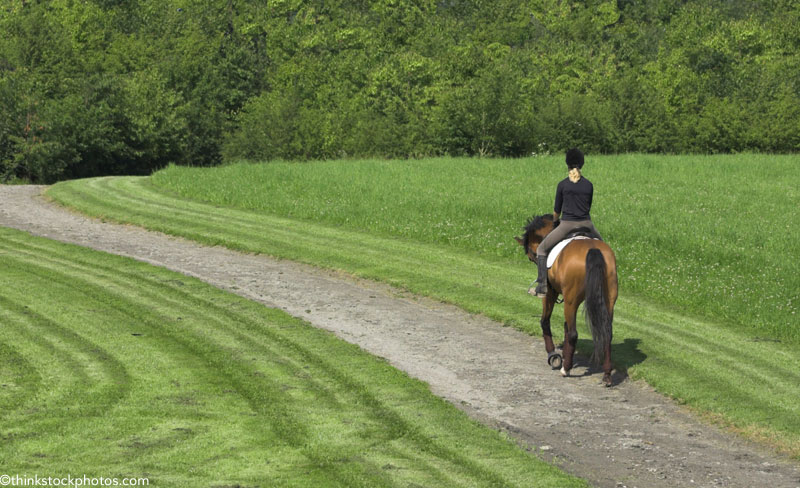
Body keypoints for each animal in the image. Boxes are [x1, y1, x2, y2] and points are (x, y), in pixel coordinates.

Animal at [516, 214, 620, 386]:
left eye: (531, 255)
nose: (534, 260)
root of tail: (593, 249)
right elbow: (564, 325)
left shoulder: (550, 293)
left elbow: (545, 321)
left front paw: (553, 356)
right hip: (608, 299)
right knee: (607, 333)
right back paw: (606, 375)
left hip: (572, 300)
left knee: (573, 333)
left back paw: (566, 369)